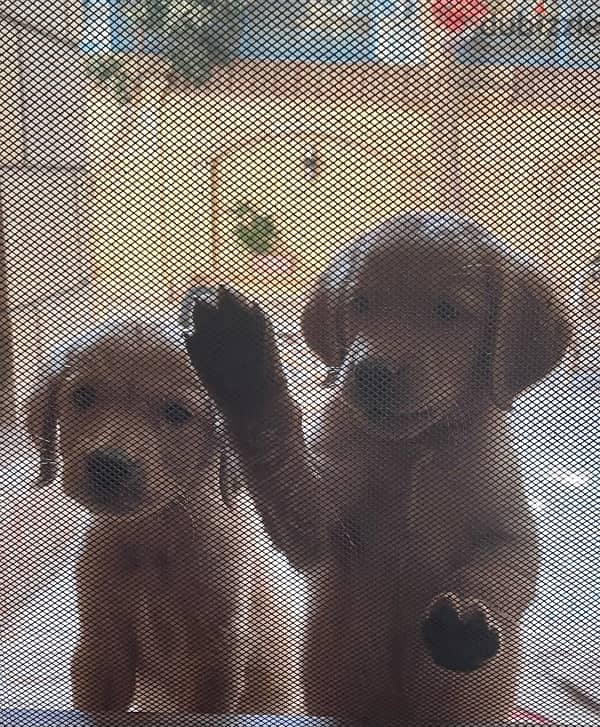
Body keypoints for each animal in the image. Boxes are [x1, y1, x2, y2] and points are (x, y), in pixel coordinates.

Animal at [25, 320, 302, 716]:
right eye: (83, 396)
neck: (153, 540)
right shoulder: (101, 647)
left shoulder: (215, 659)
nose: (108, 465)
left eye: (177, 413)